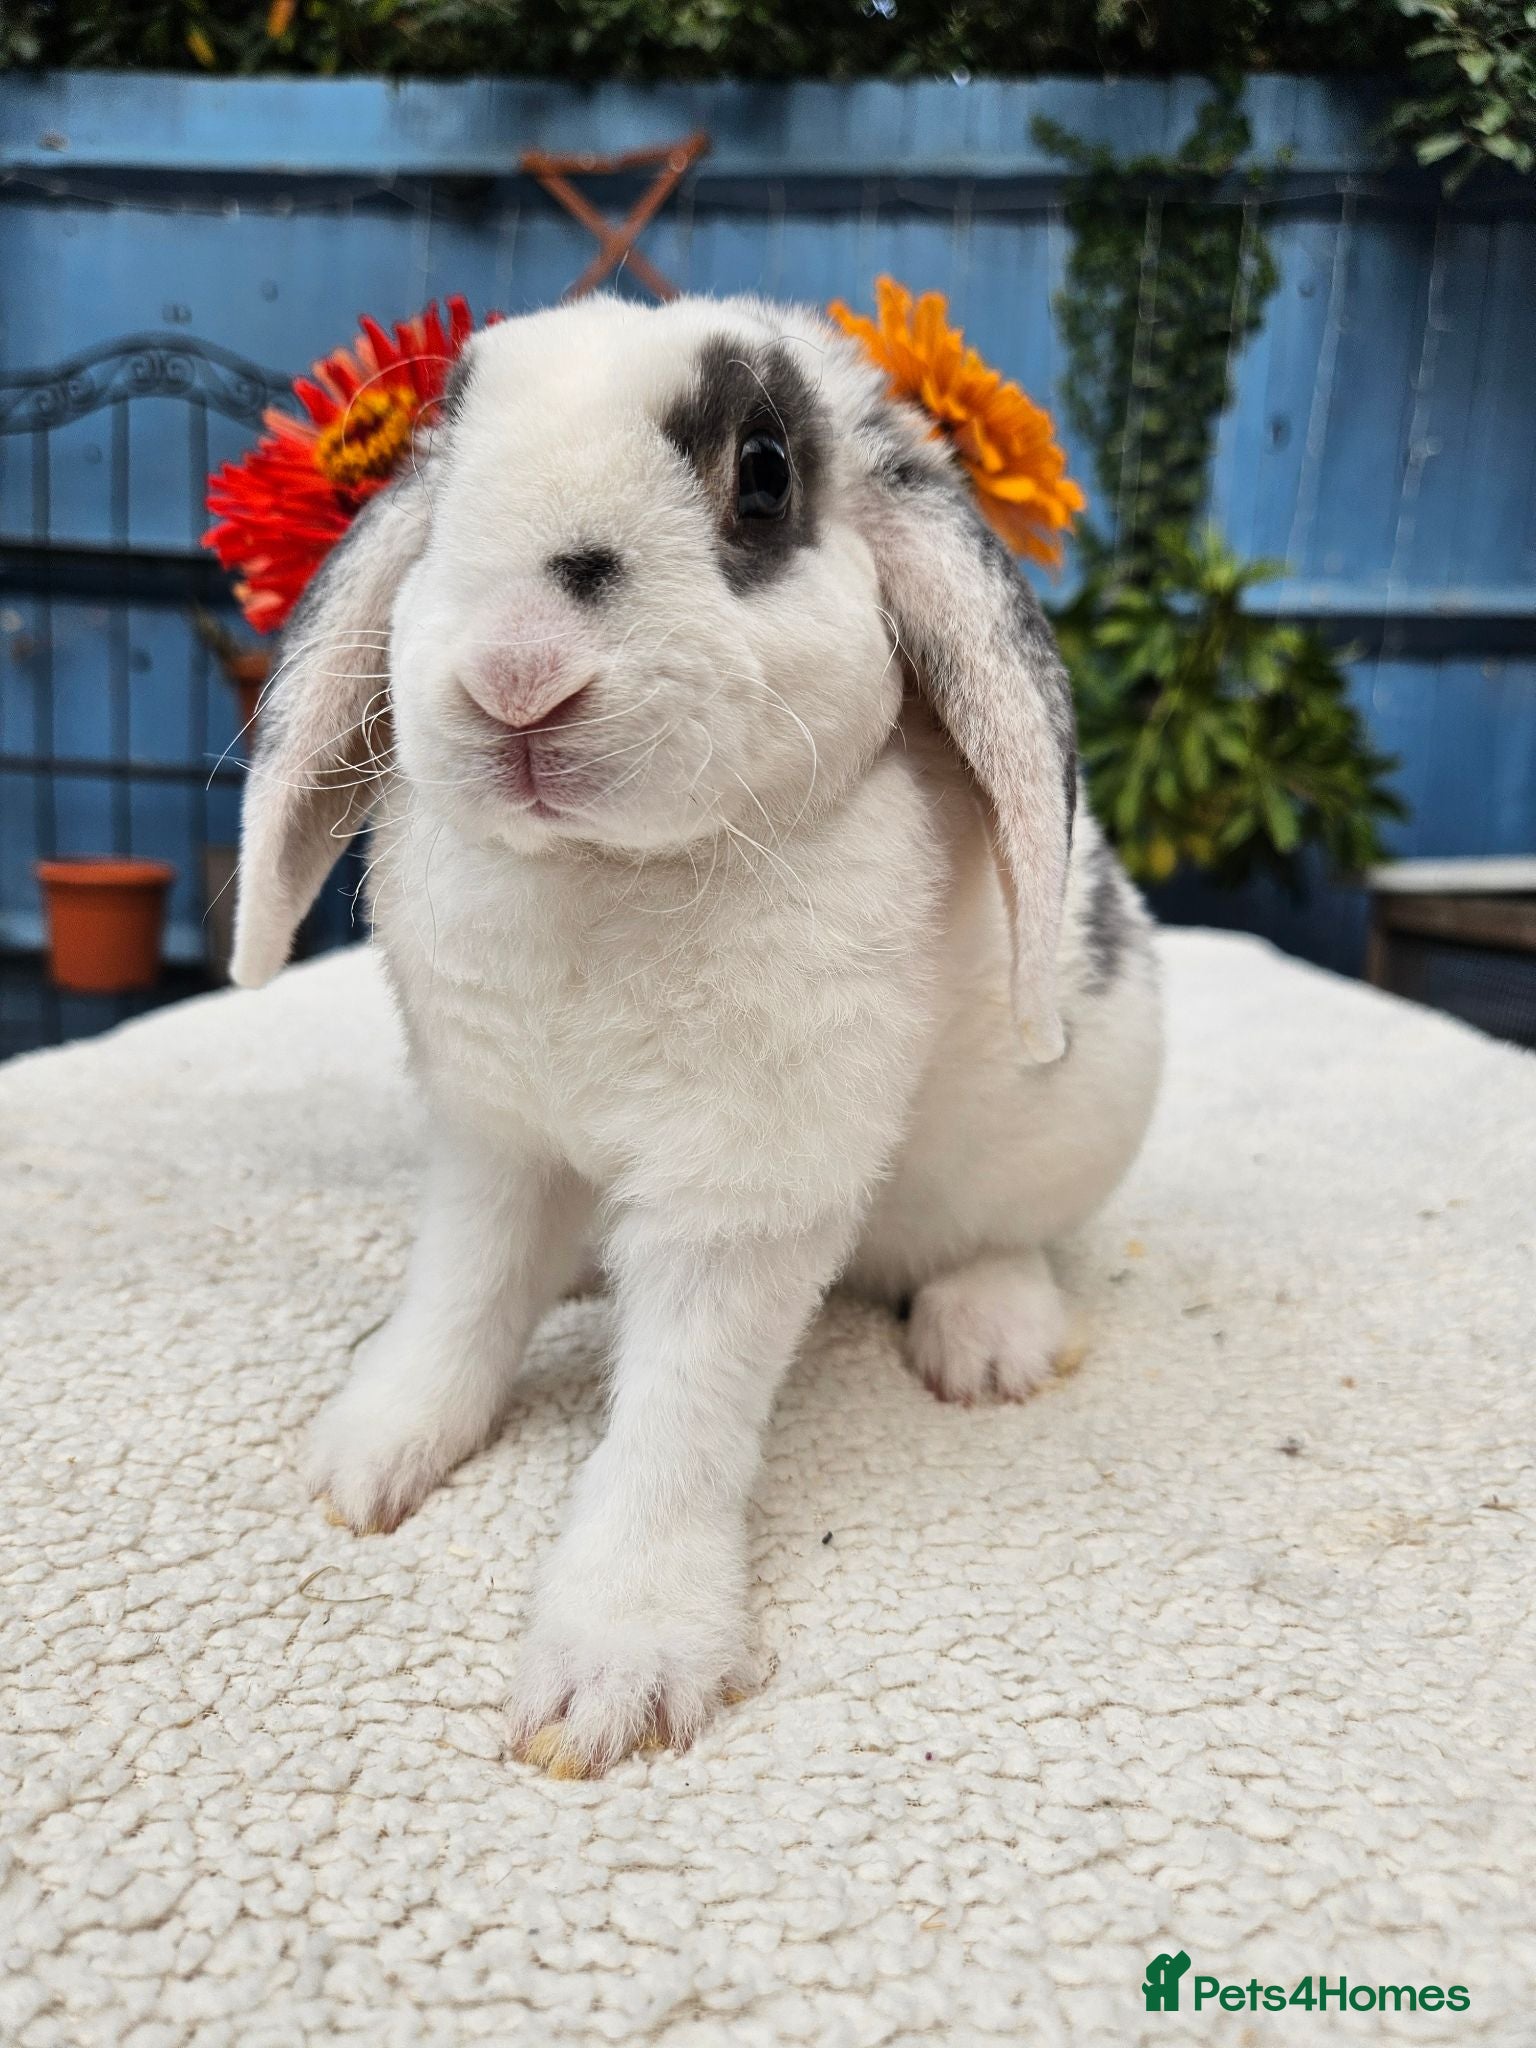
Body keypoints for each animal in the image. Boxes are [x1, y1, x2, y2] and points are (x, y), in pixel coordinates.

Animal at [231, 291, 1162, 1778]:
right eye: (449, 463)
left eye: (765, 474)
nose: (517, 674)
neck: (607, 875)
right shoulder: (493, 1146)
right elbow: (461, 1297)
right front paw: (364, 1457)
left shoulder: (744, 1199)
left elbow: (679, 1410)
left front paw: (614, 1674)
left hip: (1071, 1115)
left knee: (1001, 1237)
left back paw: (987, 1340)